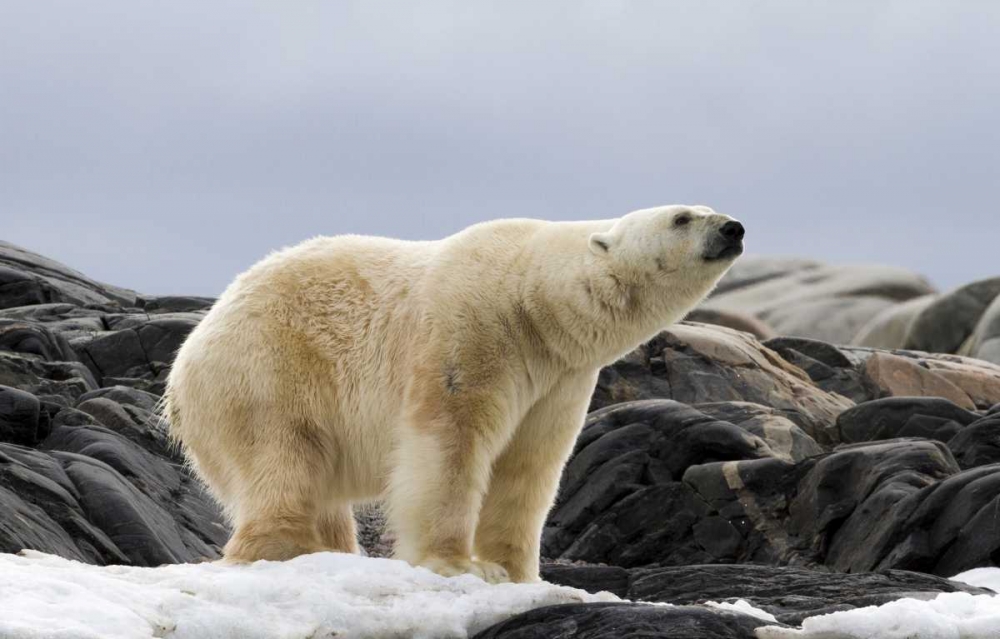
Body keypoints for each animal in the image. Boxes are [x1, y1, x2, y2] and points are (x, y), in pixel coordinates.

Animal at [164, 205, 744, 584]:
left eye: (708, 208)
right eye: (682, 217)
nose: (733, 227)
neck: (532, 297)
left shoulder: (559, 378)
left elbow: (529, 464)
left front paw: (515, 572)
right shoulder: (472, 330)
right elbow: (450, 443)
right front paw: (455, 563)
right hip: (266, 370)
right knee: (282, 457)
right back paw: (284, 547)